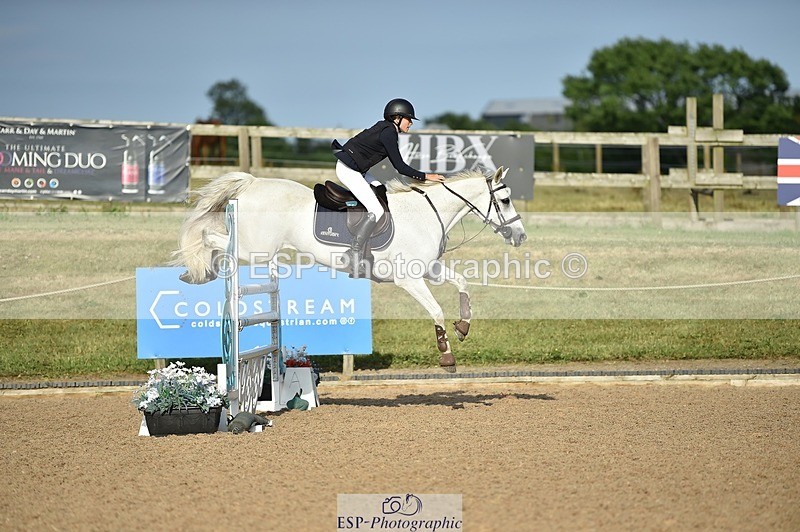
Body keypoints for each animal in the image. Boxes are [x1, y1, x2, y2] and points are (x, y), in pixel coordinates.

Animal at [173, 166, 527, 372]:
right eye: (505, 200)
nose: (520, 236)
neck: (428, 213)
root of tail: (253, 182)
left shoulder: (428, 270)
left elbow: (462, 283)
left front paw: (463, 327)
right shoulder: (409, 279)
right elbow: (436, 310)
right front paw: (446, 355)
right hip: (253, 247)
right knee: (211, 237)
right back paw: (203, 269)